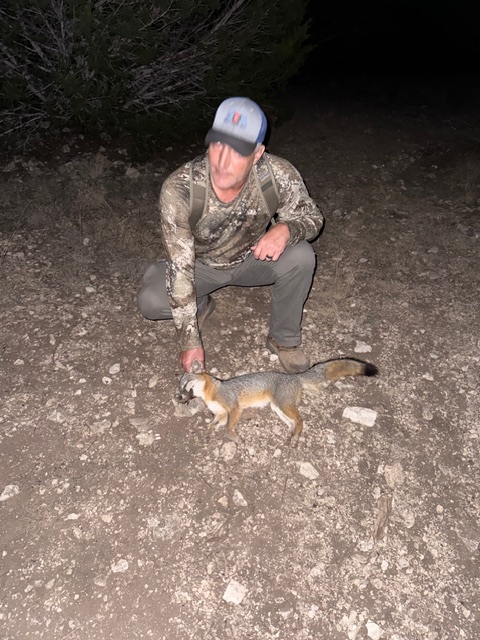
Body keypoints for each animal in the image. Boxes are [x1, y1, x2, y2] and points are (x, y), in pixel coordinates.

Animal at [176, 358, 378, 445]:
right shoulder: (222, 414)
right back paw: (290, 434)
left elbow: (227, 429)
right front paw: (210, 430)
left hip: (283, 406)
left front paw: (234, 437)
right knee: (293, 422)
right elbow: (213, 423)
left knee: (301, 420)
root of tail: (294, 376)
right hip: (278, 408)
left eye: (185, 385)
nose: (178, 397)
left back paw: (295, 437)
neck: (211, 393)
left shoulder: (234, 408)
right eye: (179, 388)